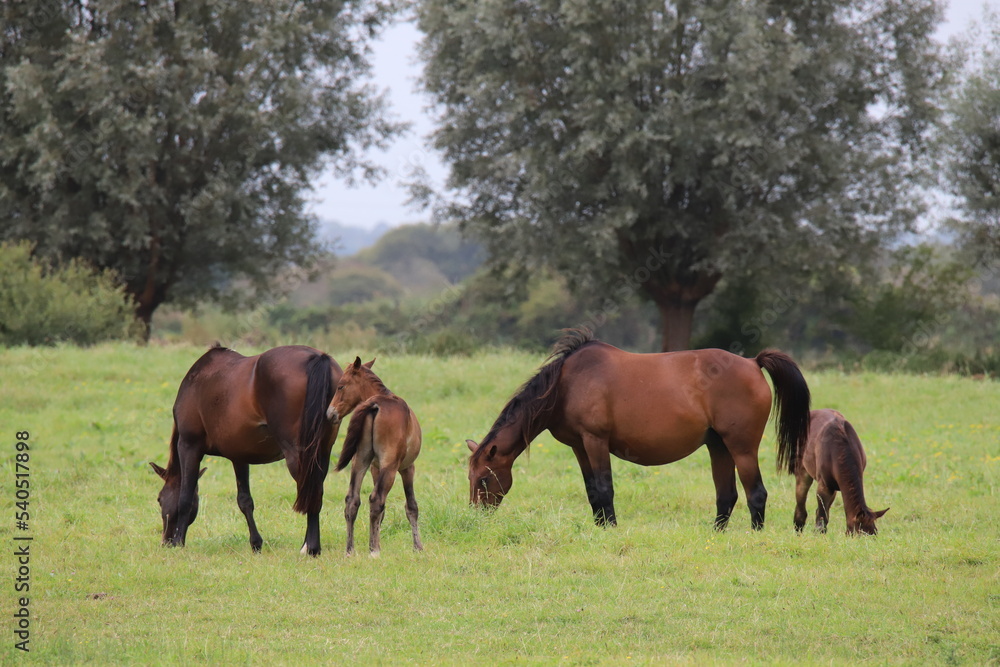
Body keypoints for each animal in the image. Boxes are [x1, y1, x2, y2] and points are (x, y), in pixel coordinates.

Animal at [149, 348, 344, 556]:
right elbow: (245, 500)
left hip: (297, 454)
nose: (166, 541)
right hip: (321, 453)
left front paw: (179, 541)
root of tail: (317, 357)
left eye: (159, 499)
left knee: (310, 492)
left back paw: (311, 547)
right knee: (315, 492)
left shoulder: (189, 446)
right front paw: (256, 543)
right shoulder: (239, 456)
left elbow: (185, 497)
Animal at [328, 358, 422, 556]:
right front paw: (418, 547)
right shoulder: (407, 468)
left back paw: (350, 550)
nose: (330, 414)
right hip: (390, 467)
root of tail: (375, 405)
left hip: (360, 462)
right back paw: (375, 551)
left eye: (340, 386)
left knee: (352, 500)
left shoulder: (374, 467)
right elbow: (411, 506)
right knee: (376, 499)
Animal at [468, 330, 812, 532]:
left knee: (756, 493)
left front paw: (611, 528)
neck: (565, 385)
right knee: (726, 495)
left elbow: (604, 487)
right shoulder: (579, 446)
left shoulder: (595, 441)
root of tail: (753, 363)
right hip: (718, 447)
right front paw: (599, 527)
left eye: (484, 478)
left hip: (741, 448)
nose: (475, 517)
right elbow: (591, 490)